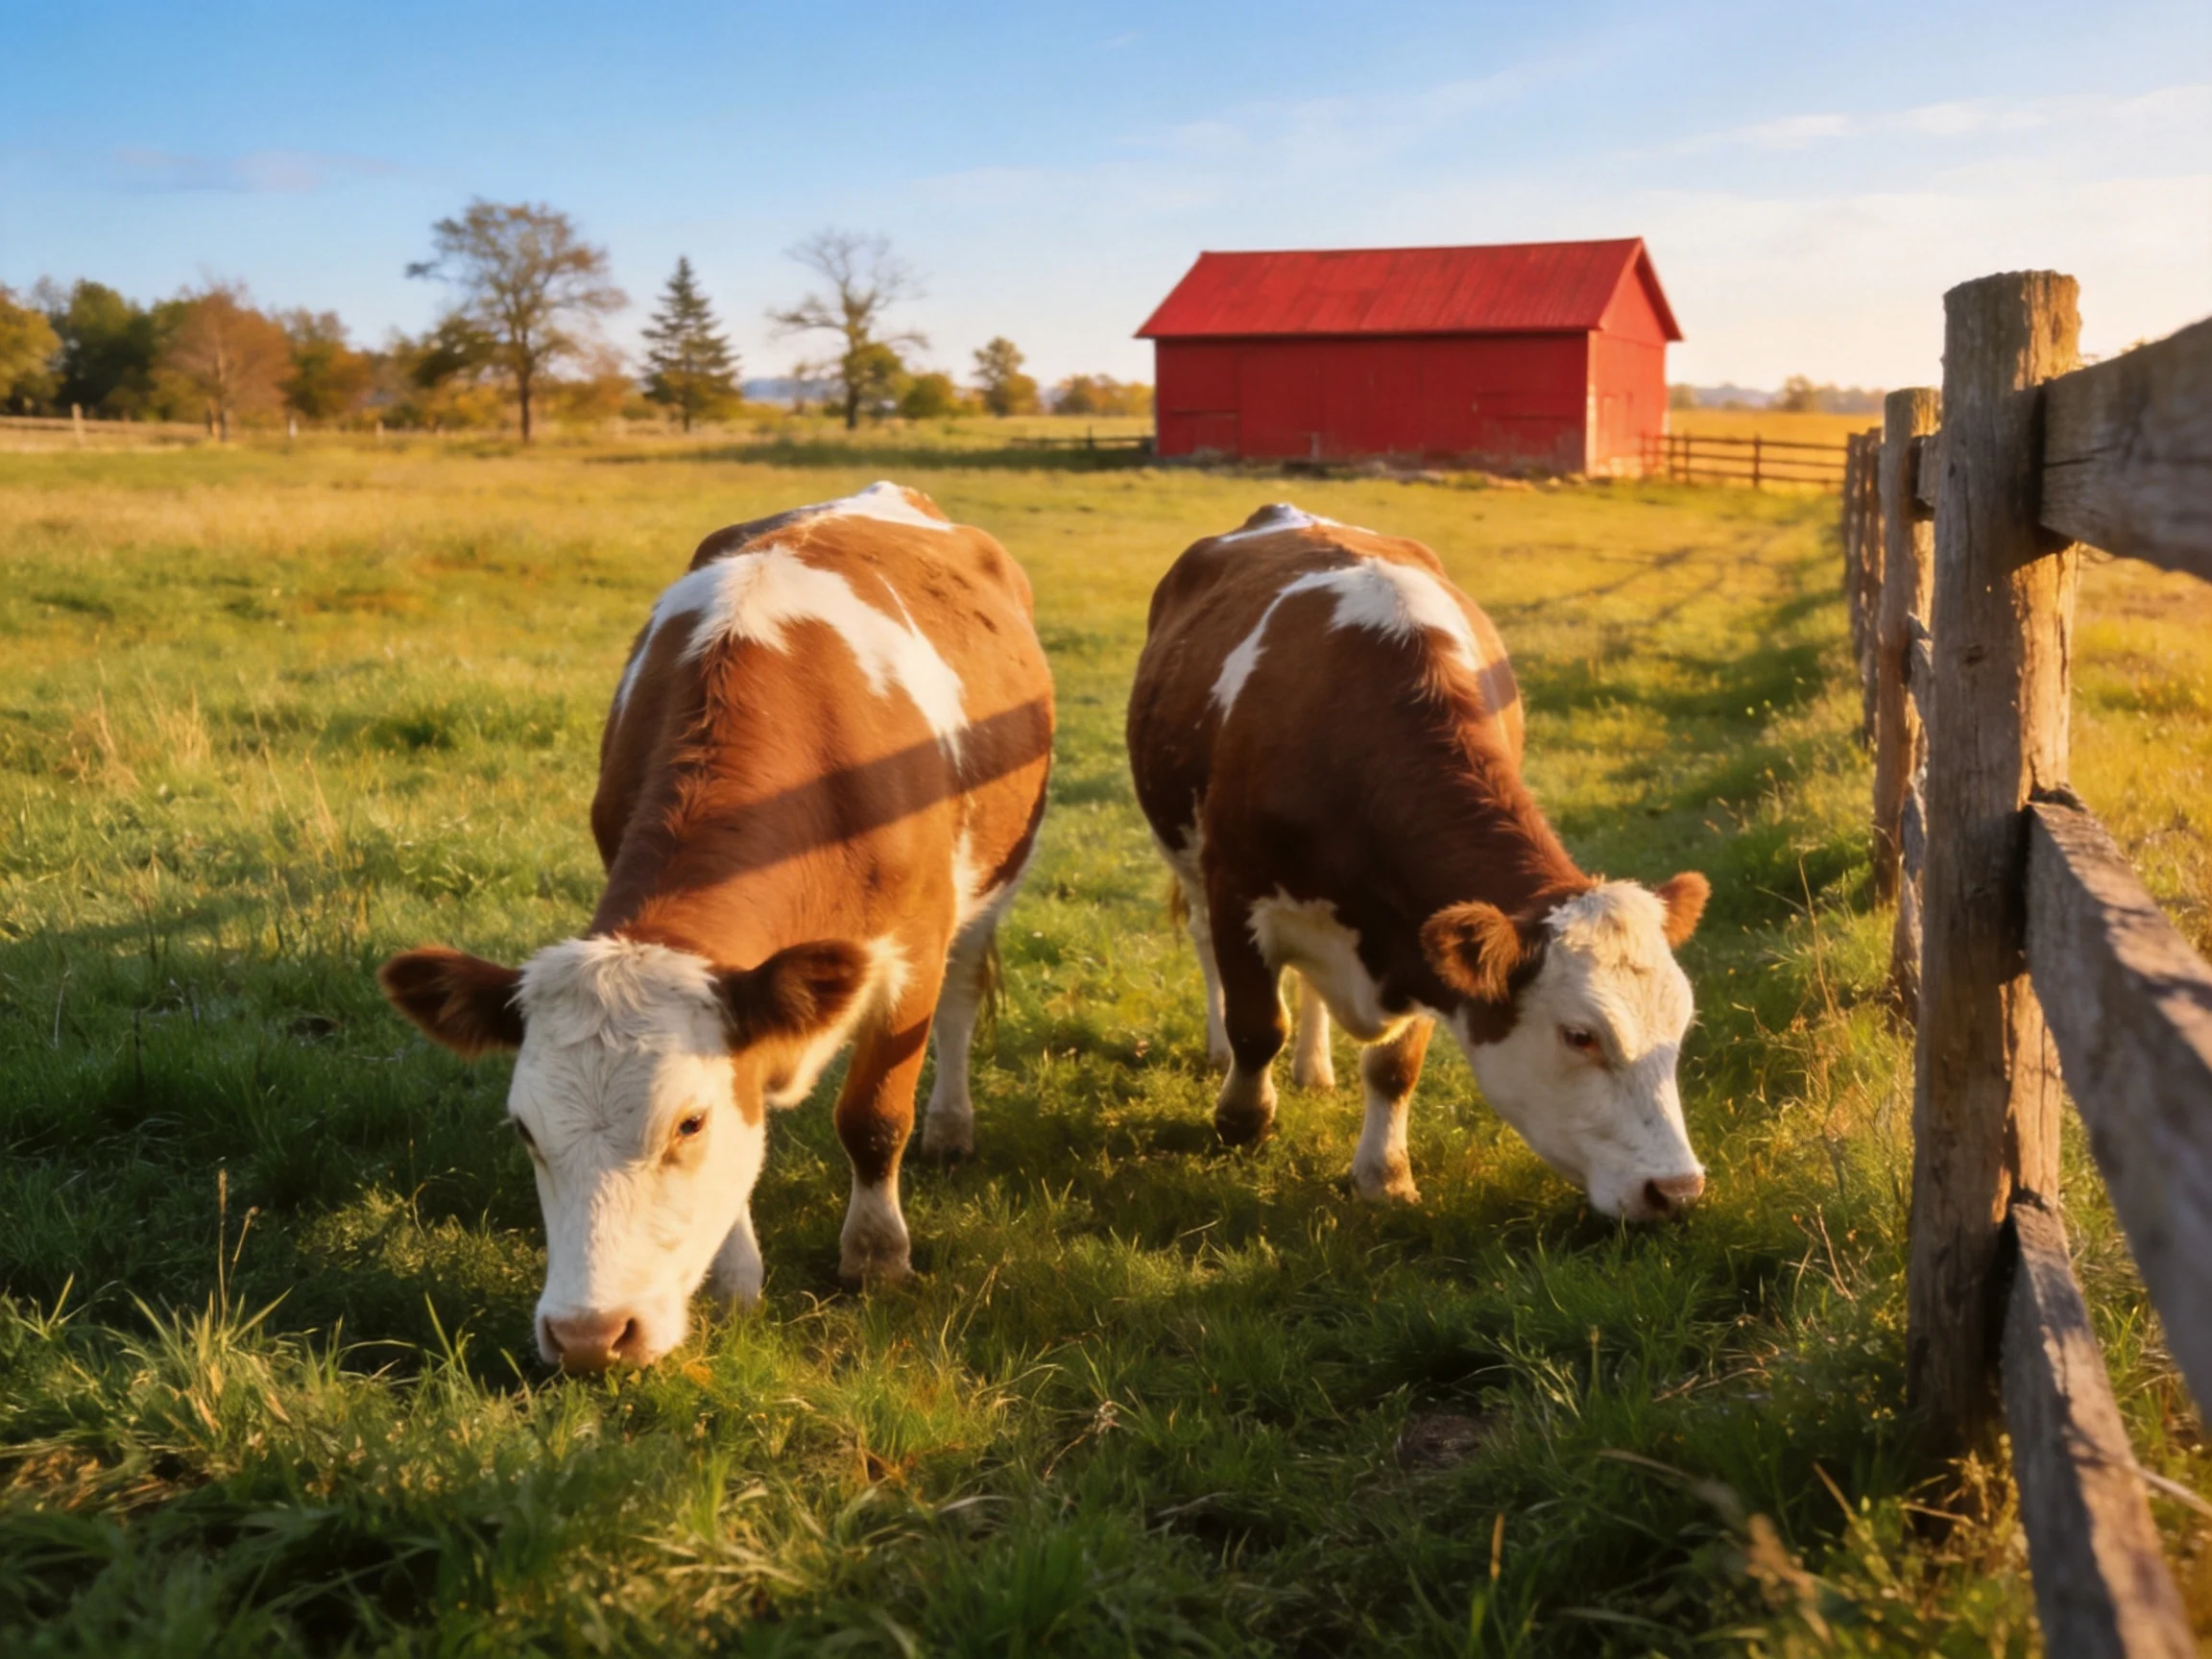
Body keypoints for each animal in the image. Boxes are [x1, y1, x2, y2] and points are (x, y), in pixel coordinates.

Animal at [378, 483, 1054, 1373]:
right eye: (524, 1129)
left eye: (687, 1122)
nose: (590, 1336)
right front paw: (734, 1283)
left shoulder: (911, 949)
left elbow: (873, 1117)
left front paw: (877, 1258)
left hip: (990, 888)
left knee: (961, 1005)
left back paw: (950, 1126)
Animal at [1126, 503, 1710, 1221]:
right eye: (1581, 1035)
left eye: (1681, 1025)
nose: (1677, 1190)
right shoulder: (1237, 887)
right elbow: (1258, 1025)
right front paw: (1242, 1120)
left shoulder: (1423, 936)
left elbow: (1393, 1067)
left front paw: (1384, 1173)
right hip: (1187, 858)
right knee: (1208, 949)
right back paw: (1221, 1052)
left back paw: (1315, 1068)